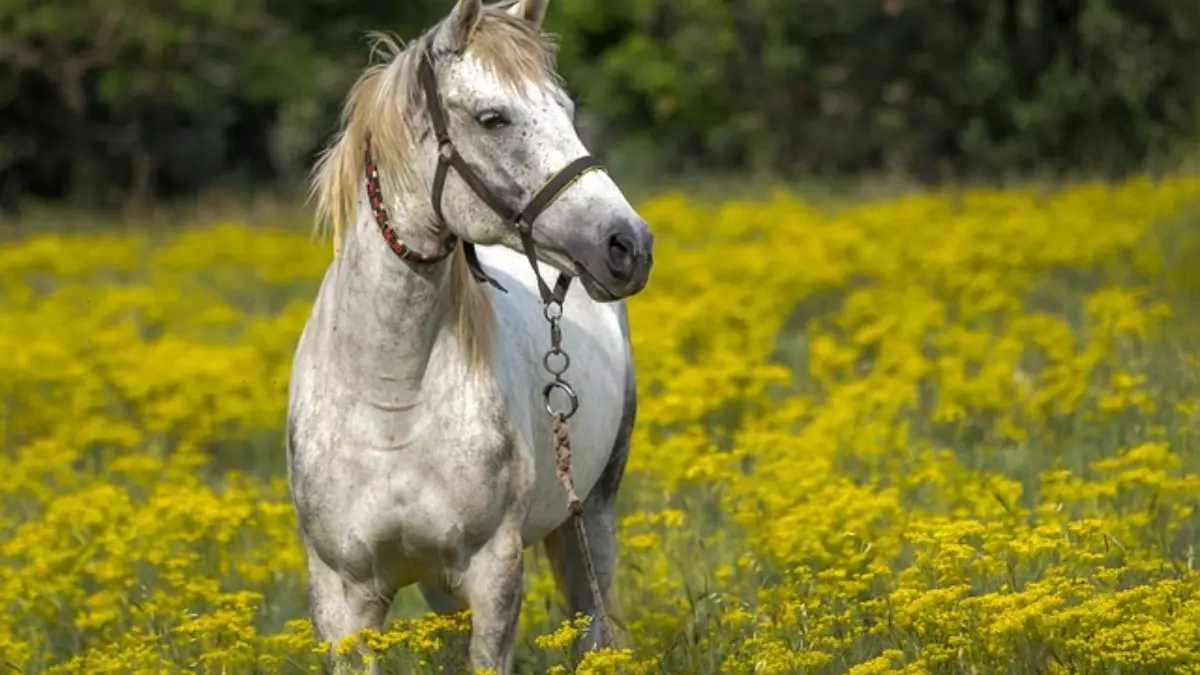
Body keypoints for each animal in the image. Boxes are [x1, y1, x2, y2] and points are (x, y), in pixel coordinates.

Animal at [284, 1, 652, 667]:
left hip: (590, 518)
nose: (629, 245)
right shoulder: (342, 597)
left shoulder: (492, 574)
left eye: (567, 111)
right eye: (492, 118)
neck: (391, 398)